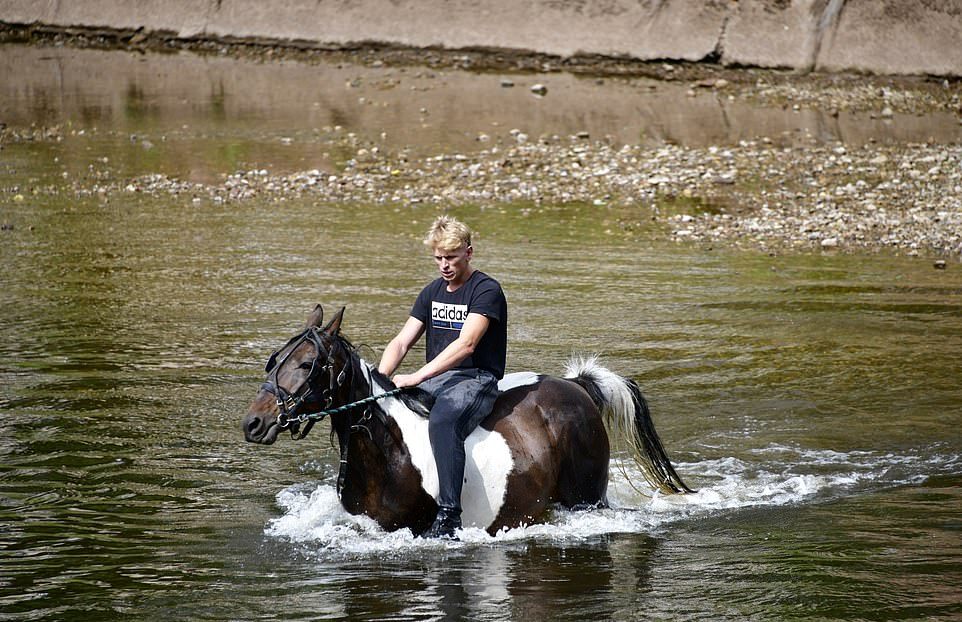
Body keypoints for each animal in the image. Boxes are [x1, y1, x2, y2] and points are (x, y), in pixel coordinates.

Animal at [240, 308, 688, 536]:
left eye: (307, 364)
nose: (254, 424)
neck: (388, 454)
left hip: (586, 498)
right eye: (275, 360)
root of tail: (577, 386)